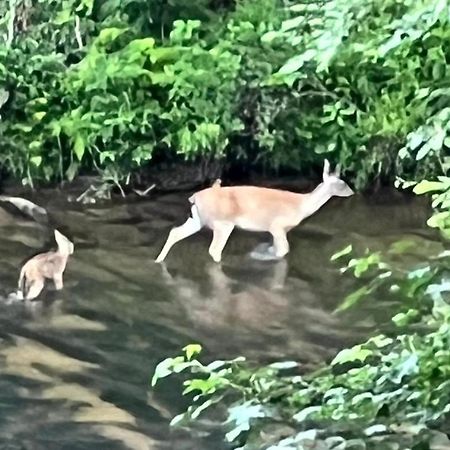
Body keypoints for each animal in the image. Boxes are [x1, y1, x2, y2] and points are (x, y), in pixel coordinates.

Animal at [156, 159, 354, 262]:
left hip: (197, 219)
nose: (352, 192)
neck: (301, 205)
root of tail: (194, 198)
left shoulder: (277, 230)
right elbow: (283, 251)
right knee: (214, 249)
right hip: (223, 223)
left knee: (175, 232)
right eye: (343, 184)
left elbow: (276, 248)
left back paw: (158, 260)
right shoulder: (277, 226)